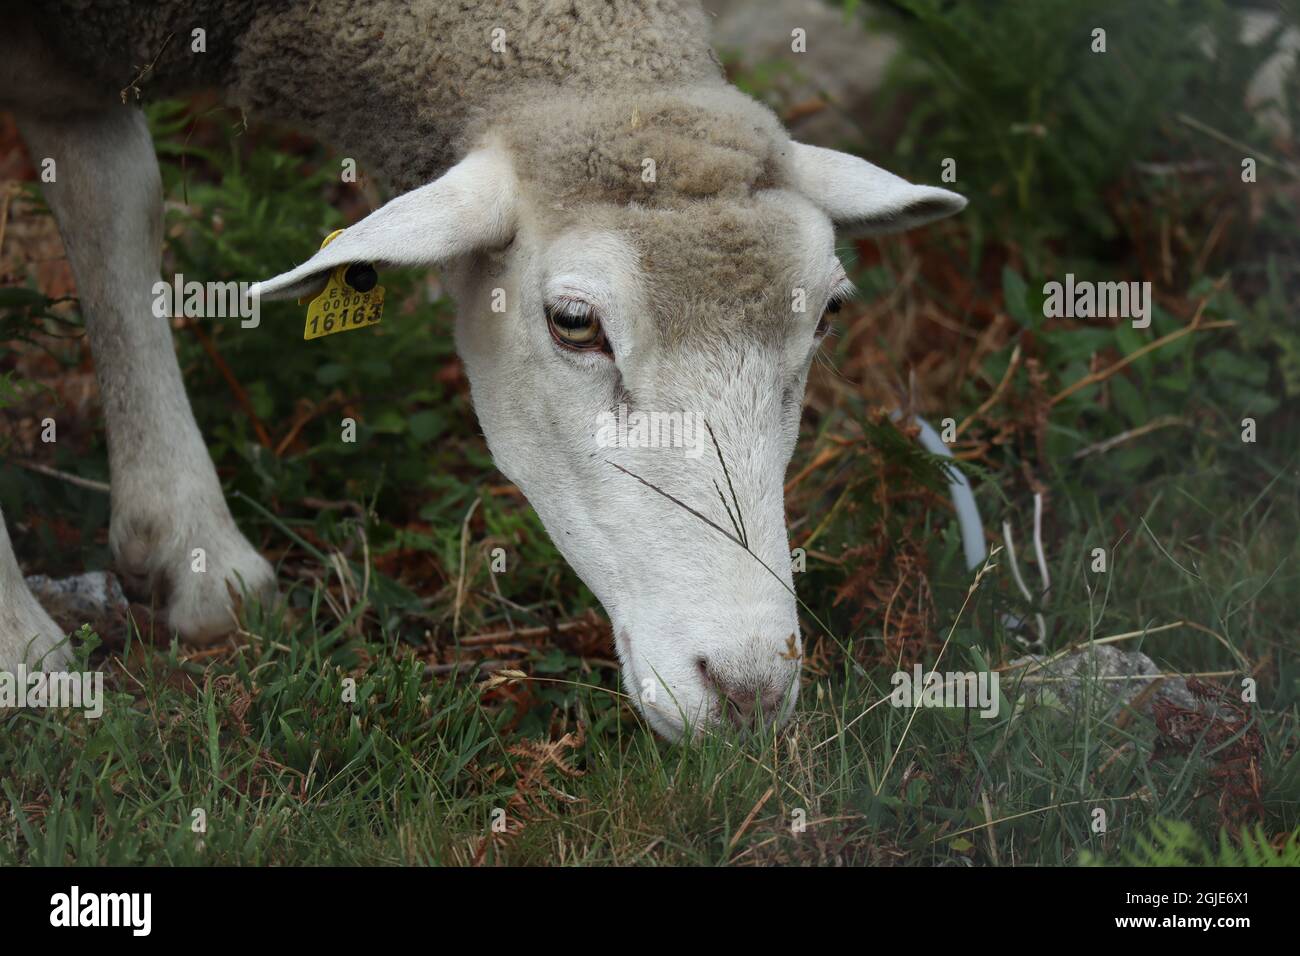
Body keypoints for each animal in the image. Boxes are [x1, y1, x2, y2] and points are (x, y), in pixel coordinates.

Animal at [0, 1, 973, 739]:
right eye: (574, 323)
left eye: (829, 314)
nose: (747, 691)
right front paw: (22, 652)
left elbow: (115, 205)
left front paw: (189, 544)